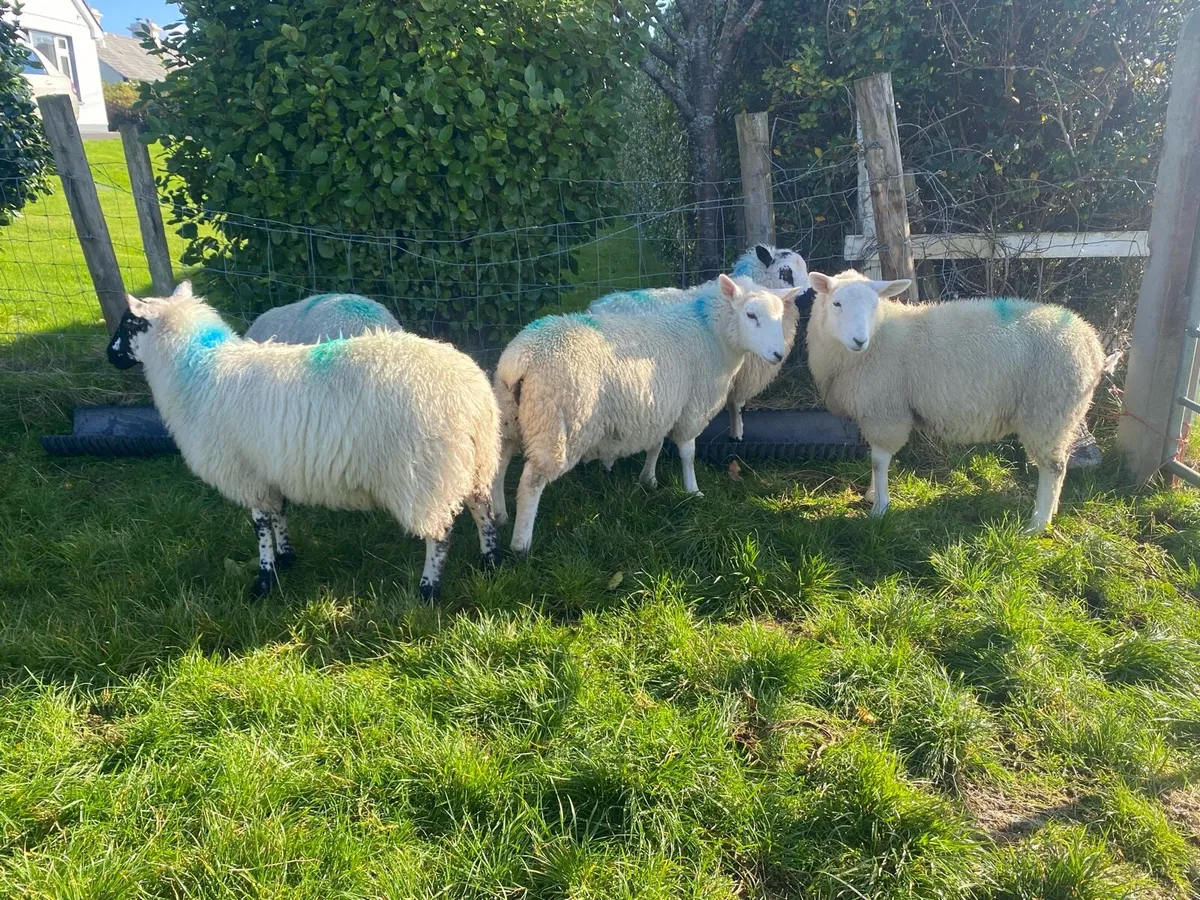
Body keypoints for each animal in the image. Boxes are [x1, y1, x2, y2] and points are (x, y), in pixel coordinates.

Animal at [493, 274, 803, 554]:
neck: (709, 332)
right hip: (556, 426)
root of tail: (522, 358)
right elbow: (687, 453)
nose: (778, 354)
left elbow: (656, 445)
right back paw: (521, 543)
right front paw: (692, 490)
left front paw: (649, 479)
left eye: (779, 316)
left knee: (499, 463)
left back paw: (499, 515)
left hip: (510, 419)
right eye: (750, 314)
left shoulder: (661, 406)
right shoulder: (691, 407)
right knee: (531, 482)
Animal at [588, 244, 811, 442]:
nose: (810, 296)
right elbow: (737, 405)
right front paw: (737, 433)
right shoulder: (740, 374)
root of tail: (593, 310)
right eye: (785, 273)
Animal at [805, 269, 1105, 533]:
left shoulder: (886, 412)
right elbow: (875, 458)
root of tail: (1092, 343)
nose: (859, 340)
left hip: (1047, 410)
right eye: (837, 303)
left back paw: (1037, 524)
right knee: (1059, 464)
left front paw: (879, 507)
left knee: (1053, 468)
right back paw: (1051, 514)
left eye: (874, 304)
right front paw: (871, 493)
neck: (879, 334)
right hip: (1061, 416)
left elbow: (879, 460)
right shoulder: (873, 411)